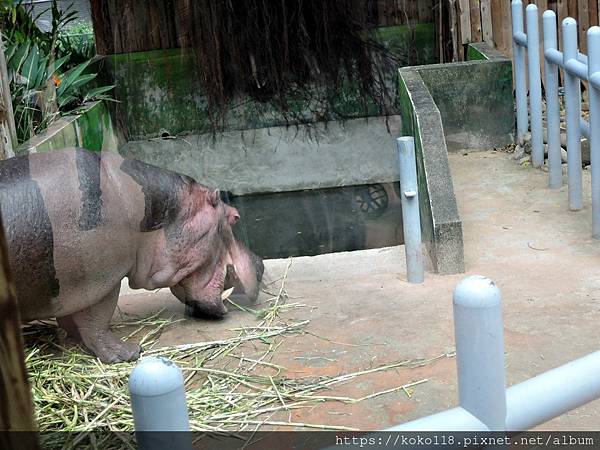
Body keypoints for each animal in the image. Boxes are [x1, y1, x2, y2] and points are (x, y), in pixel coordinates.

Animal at [0, 149, 262, 364]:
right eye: (235, 217)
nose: (260, 264)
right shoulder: (98, 280)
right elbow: (97, 320)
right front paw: (127, 353)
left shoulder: (73, 292)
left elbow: (73, 319)